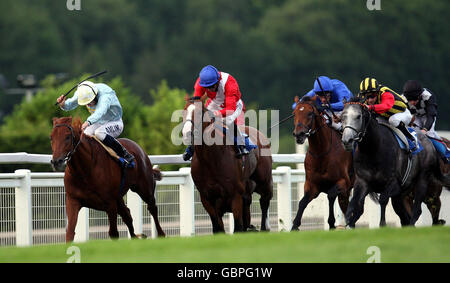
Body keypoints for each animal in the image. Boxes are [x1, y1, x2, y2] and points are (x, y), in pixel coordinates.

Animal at [183, 96, 274, 234]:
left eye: (198, 113)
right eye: (183, 112)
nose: (186, 133)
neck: (209, 160)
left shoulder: (235, 194)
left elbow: (238, 227)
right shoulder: (206, 198)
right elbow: (218, 228)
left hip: (264, 181)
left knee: (264, 201)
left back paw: (264, 228)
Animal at [290, 97, 354, 231]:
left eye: (310, 113)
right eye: (294, 113)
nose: (299, 134)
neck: (322, 153)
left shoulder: (343, 182)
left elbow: (330, 195)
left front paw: (331, 223)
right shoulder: (312, 185)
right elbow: (302, 202)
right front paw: (294, 226)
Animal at [342, 100, 450, 229]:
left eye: (358, 116)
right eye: (342, 116)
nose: (347, 140)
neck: (373, 149)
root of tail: (430, 142)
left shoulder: (393, 183)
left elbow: (383, 200)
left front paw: (382, 224)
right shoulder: (362, 181)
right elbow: (354, 202)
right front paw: (349, 223)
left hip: (423, 181)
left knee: (419, 209)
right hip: (404, 193)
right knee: (404, 214)